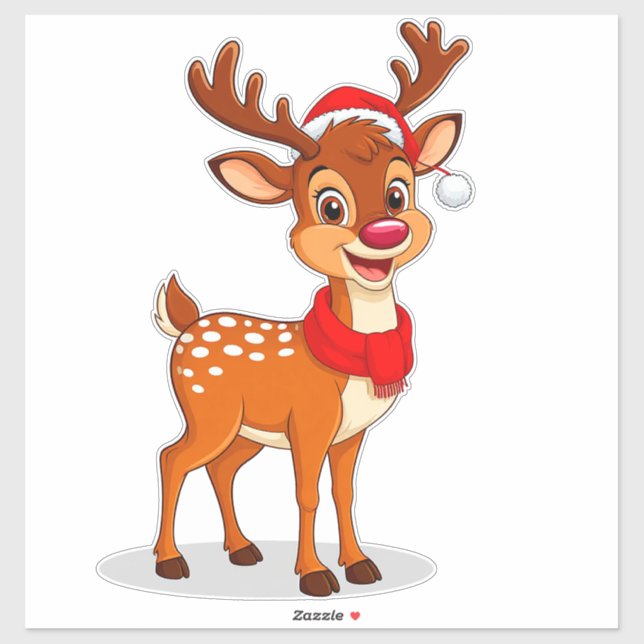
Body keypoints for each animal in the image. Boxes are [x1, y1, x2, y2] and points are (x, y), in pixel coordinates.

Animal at [152, 18, 471, 597]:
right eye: (330, 205)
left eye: (398, 192)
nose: (385, 233)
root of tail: (185, 325)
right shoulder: (309, 423)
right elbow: (307, 495)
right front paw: (315, 576)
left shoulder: (351, 433)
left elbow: (345, 492)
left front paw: (361, 566)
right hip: (208, 410)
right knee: (172, 458)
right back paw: (170, 561)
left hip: (244, 430)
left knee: (221, 468)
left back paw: (242, 550)